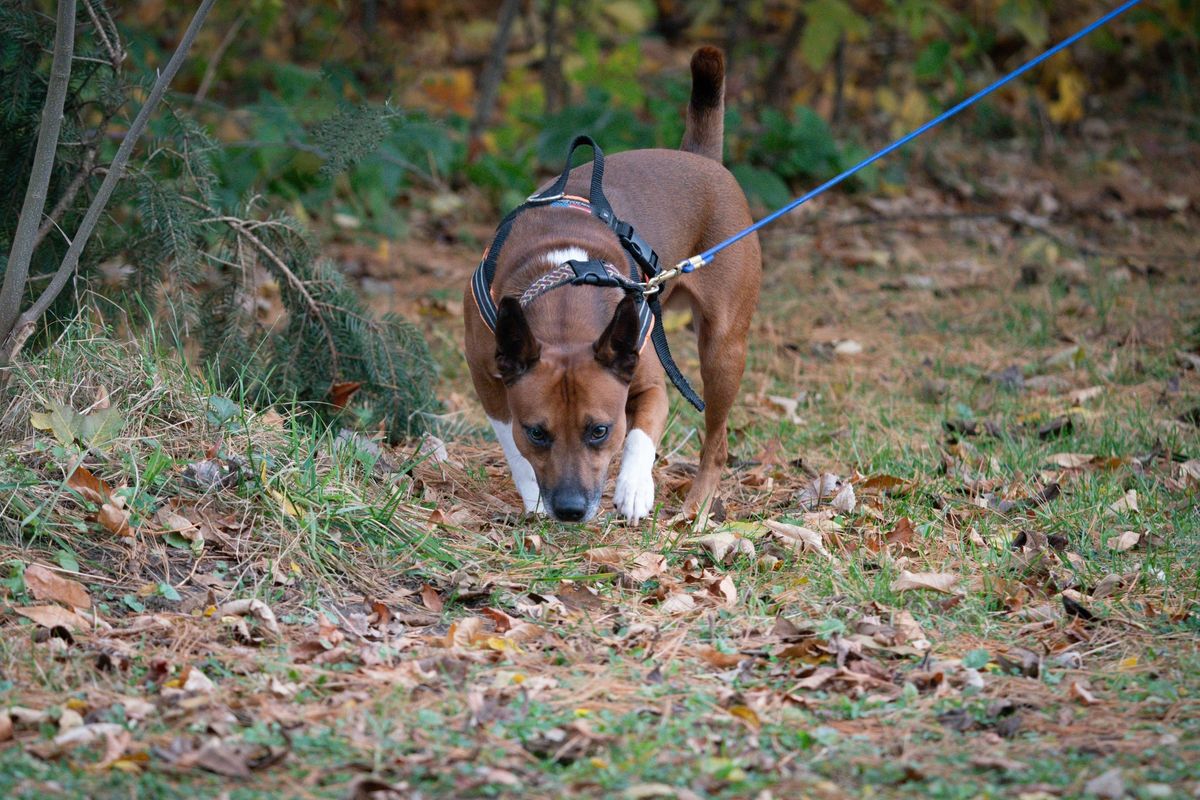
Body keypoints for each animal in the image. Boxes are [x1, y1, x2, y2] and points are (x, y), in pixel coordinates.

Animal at [465, 50, 758, 525]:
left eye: (600, 430)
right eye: (538, 432)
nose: (569, 509)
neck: (566, 295)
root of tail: (702, 159)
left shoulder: (650, 384)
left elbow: (640, 437)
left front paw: (635, 487)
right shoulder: (487, 380)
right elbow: (513, 447)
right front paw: (534, 498)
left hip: (723, 351)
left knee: (716, 443)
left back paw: (696, 508)